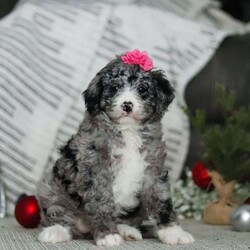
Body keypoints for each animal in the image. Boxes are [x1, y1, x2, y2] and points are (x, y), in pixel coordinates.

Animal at [37, 49, 194, 245]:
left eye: (142, 89)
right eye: (114, 88)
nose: (127, 104)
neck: (128, 130)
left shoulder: (153, 169)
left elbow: (162, 199)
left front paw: (173, 232)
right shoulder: (96, 170)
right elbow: (101, 201)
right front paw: (107, 234)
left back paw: (127, 230)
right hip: (50, 187)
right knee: (57, 211)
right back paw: (56, 231)